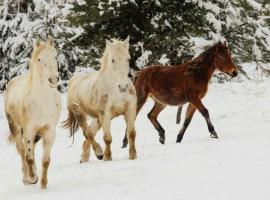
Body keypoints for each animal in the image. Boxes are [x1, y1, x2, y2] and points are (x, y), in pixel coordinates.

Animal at [5, 36, 61, 189]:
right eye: (40, 59)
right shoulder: (29, 129)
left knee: (31, 150)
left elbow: (46, 160)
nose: (53, 79)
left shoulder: (49, 131)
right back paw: (26, 178)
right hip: (16, 129)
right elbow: (28, 157)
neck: (42, 102)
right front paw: (32, 178)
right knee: (22, 151)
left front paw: (43, 184)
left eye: (55, 56)